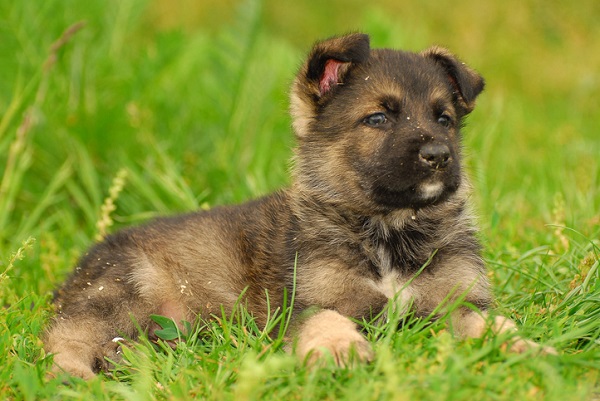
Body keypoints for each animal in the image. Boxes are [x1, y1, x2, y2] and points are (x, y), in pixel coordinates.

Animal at [44, 32, 552, 376]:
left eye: (443, 119)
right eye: (378, 118)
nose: (439, 156)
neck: (386, 228)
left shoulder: (459, 302)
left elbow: (494, 325)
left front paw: (529, 351)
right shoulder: (302, 304)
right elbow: (325, 319)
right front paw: (342, 351)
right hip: (124, 290)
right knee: (61, 337)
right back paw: (73, 375)